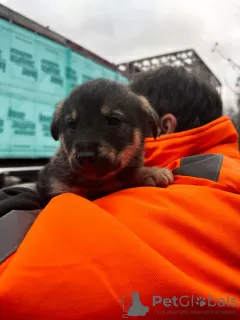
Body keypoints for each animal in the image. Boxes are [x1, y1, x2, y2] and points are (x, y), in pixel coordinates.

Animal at [36, 78, 173, 205]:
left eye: (113, 121)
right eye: (71, 125)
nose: (85, 156)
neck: (95, 182)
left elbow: (130, 173)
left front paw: (152, 172)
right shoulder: (58, 186)